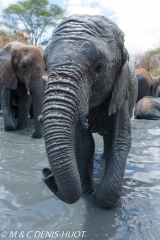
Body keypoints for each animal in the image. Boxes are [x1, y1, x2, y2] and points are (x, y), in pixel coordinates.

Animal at [41, 14, 138, 208]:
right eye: (46, 67)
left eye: (99, 67)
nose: (47, 173)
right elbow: (83, 144)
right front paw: (87, 193)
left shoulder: (123, 91)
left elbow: (120, 140)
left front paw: (102, 199)